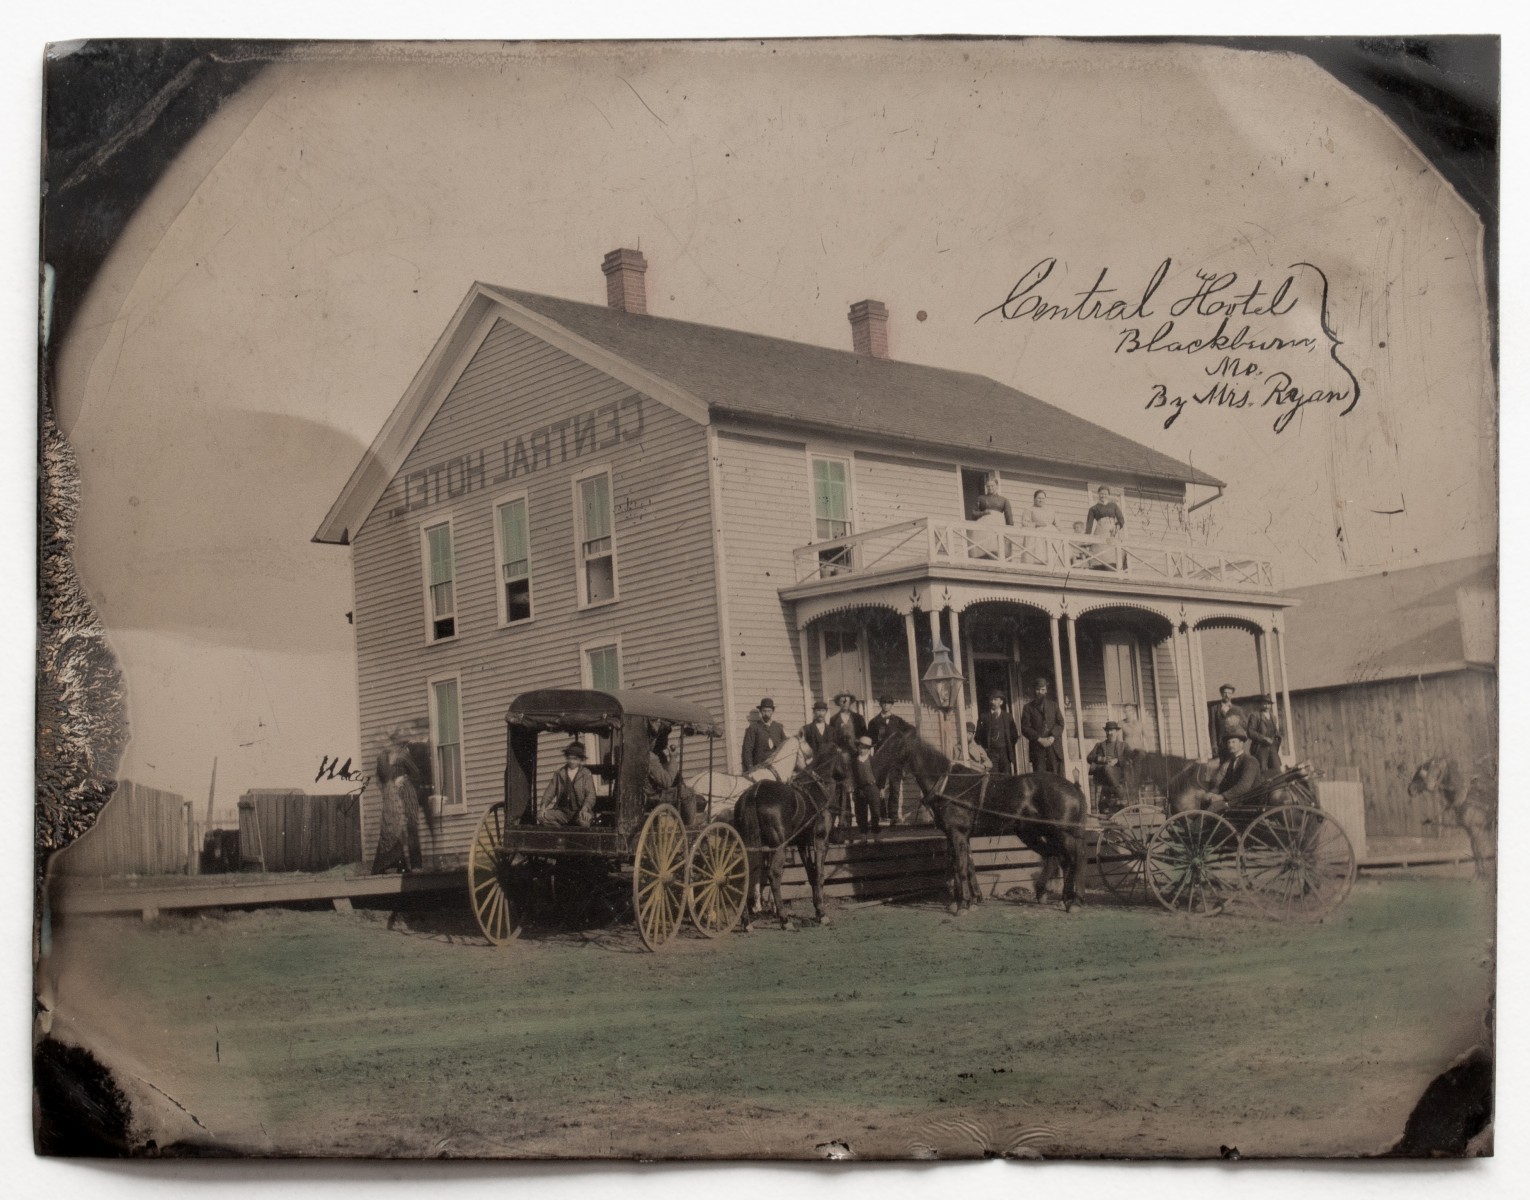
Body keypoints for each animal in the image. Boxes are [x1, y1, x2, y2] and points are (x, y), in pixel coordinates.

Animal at [734, 740, 844, 930]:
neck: (816, 787)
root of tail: (754, 793)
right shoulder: (821, 840)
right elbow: (819, 874)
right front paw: (822, 913)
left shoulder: (802, 844)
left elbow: (811, 873)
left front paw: (817, 910)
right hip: (779, 846)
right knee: (774, 875)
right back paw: (784, 919)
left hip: (751, 845)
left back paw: (746, 921)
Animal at [875, 725, 1089, 912]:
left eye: (894, 743)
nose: (875, 770)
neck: (947, 783)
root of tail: (1073, 787)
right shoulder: (956, 835)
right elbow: (963, 866)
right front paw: (966, 901)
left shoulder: (958, 833)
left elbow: (961, 866)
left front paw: (963, 904)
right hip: (1034, 833)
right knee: (1056, 856)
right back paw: (1050, 894)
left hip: (1062, 833)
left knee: (1073, 858)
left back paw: (1073, 901)